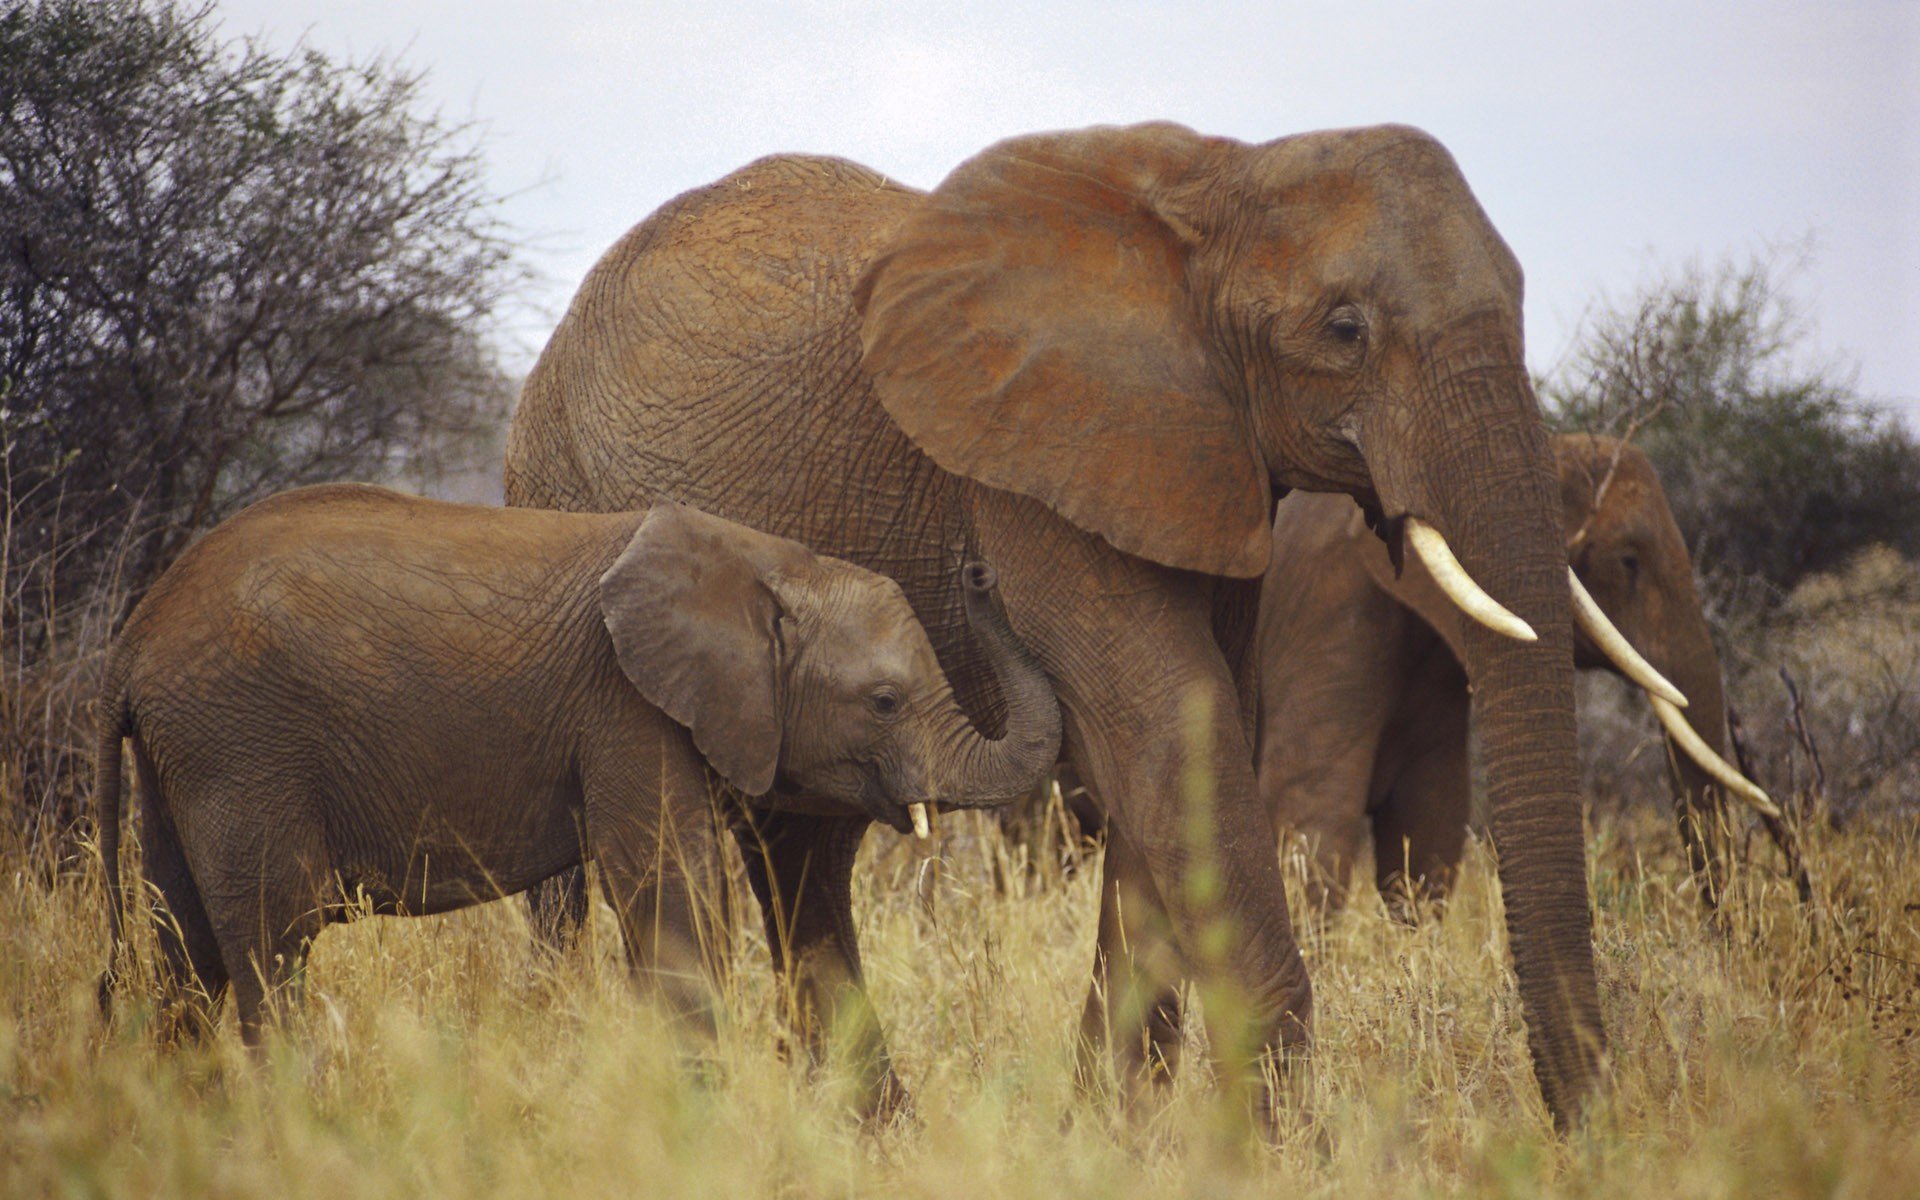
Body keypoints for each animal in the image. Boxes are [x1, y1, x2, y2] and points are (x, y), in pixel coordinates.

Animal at [93, 483, 1060, 1045]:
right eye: (886, 701)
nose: (979, 570)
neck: (764, 563)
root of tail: (129, 648)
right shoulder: (626, 709)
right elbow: (671, 896)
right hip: (242, 743)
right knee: (273, 943)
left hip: (193, 756)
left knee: (184, 951)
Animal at [503, 121, 1658, 1127]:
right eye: (1345, 329)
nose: (1586, 1133)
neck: (1216, 183)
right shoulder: (1029, 477)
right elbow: (1170, 727)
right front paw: (1285, 1154)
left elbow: (1182, 749)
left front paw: (1110, 1140)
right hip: (557, 507)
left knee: (805, 857)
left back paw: (873, 1132)